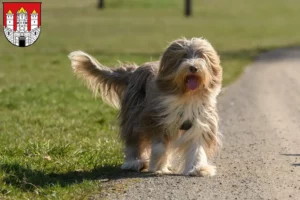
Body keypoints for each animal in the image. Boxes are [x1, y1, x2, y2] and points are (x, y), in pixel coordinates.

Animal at [68, 38, 223, 177]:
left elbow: (197, 147)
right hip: (133, 115)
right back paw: (134, 162)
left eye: (201, 56)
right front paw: (158, 166)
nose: (193, 67)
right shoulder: (155, 119)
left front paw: (198, 168)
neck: (186, 97)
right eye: (183, 56)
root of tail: (134, 70)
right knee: (133, 140)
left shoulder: (200, 122)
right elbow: (159, 147)